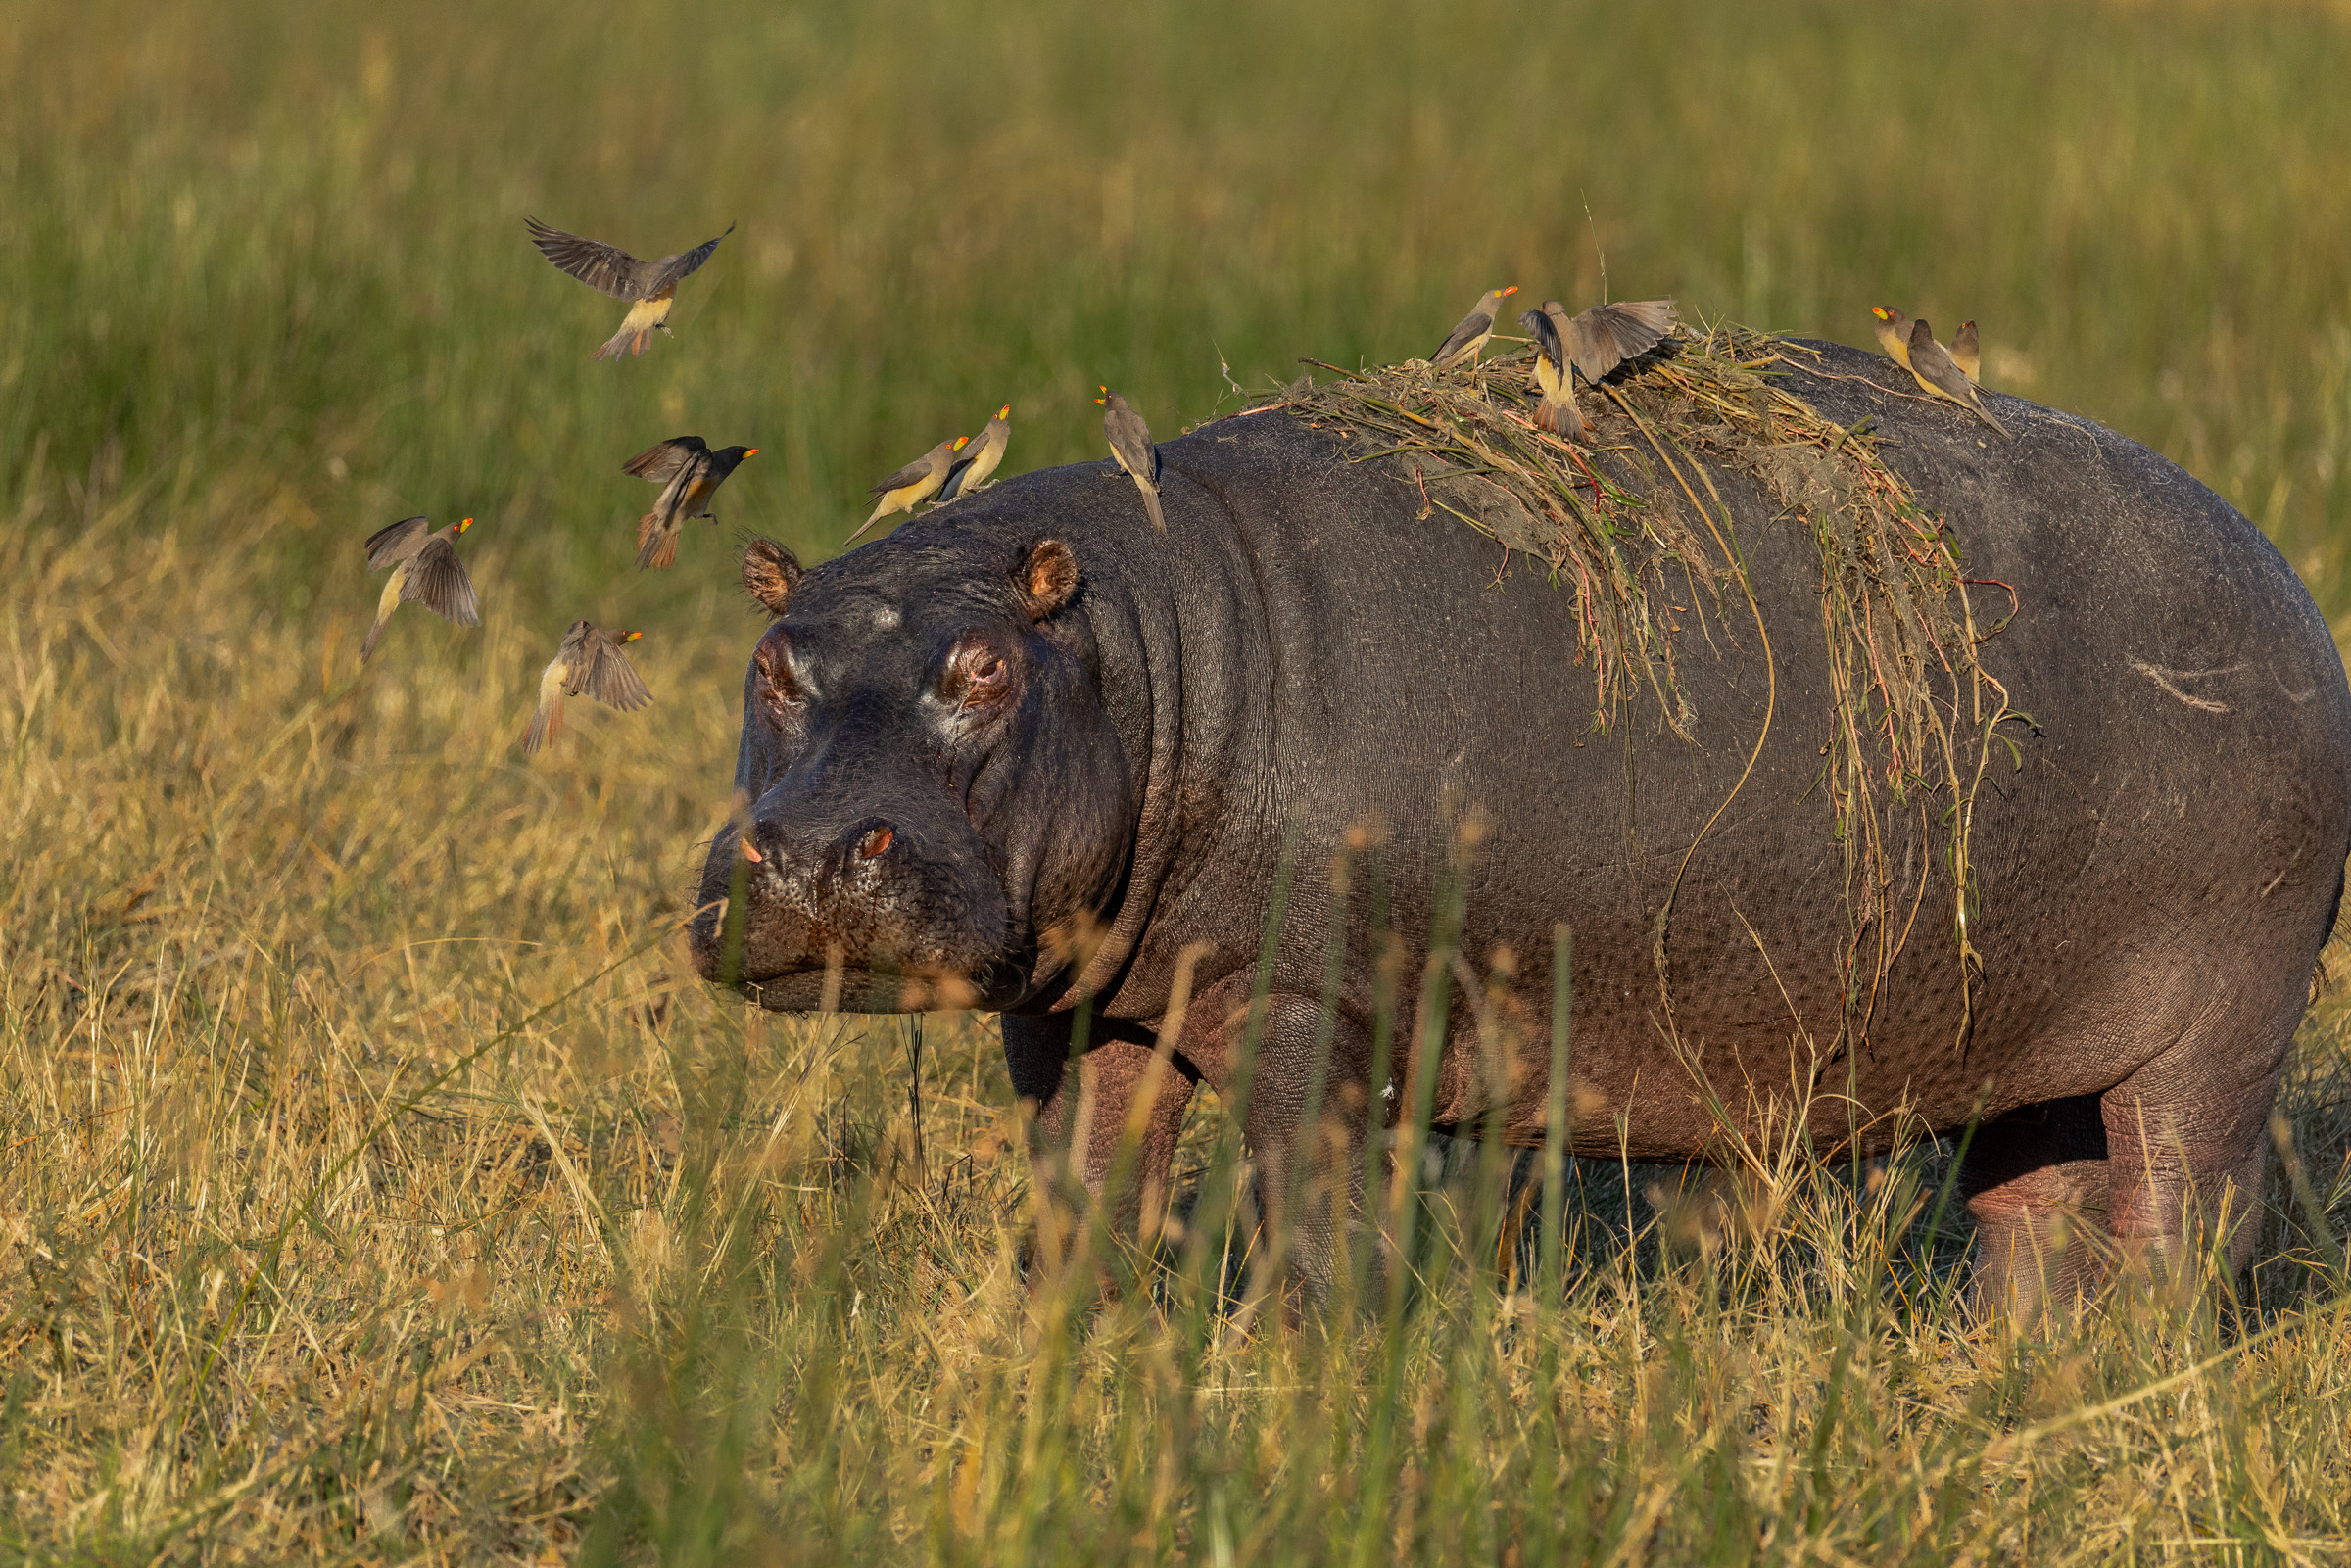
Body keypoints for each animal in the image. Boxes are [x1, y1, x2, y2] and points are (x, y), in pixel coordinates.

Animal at [688, 339, 2351, 1318]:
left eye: (983, 667)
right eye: (773, 659)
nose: (814, 849)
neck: (1145, 649)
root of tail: (2281, 572)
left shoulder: (1314, 997)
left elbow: (1309, 1209)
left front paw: (1317, 1375)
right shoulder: (1085, 1000)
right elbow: (1081, 1193)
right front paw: (1060, 1354)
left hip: (2227, 1015)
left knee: (2185, 1214)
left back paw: (2143, 1370)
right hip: (2030, 1032)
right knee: (2036, 1213)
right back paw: (2016, 1380)